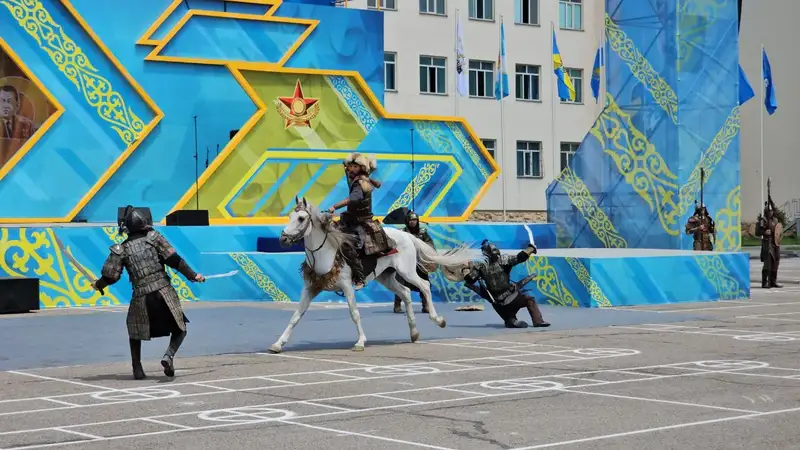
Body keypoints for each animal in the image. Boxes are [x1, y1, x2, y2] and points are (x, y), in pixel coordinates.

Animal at [268, 196, 482, 352]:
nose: (283, 239)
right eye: (290, 217)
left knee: (424, 286)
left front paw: (360, 342)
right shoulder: (311, 287)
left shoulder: (346, 286)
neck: (327, 252)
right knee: (405, 293)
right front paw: (278, 344)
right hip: (386, 277)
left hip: (407, 271)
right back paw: (413, 332)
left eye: (301, 218)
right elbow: (296, 316)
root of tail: (407, 235)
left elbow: (354, 313)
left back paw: (438, 320)